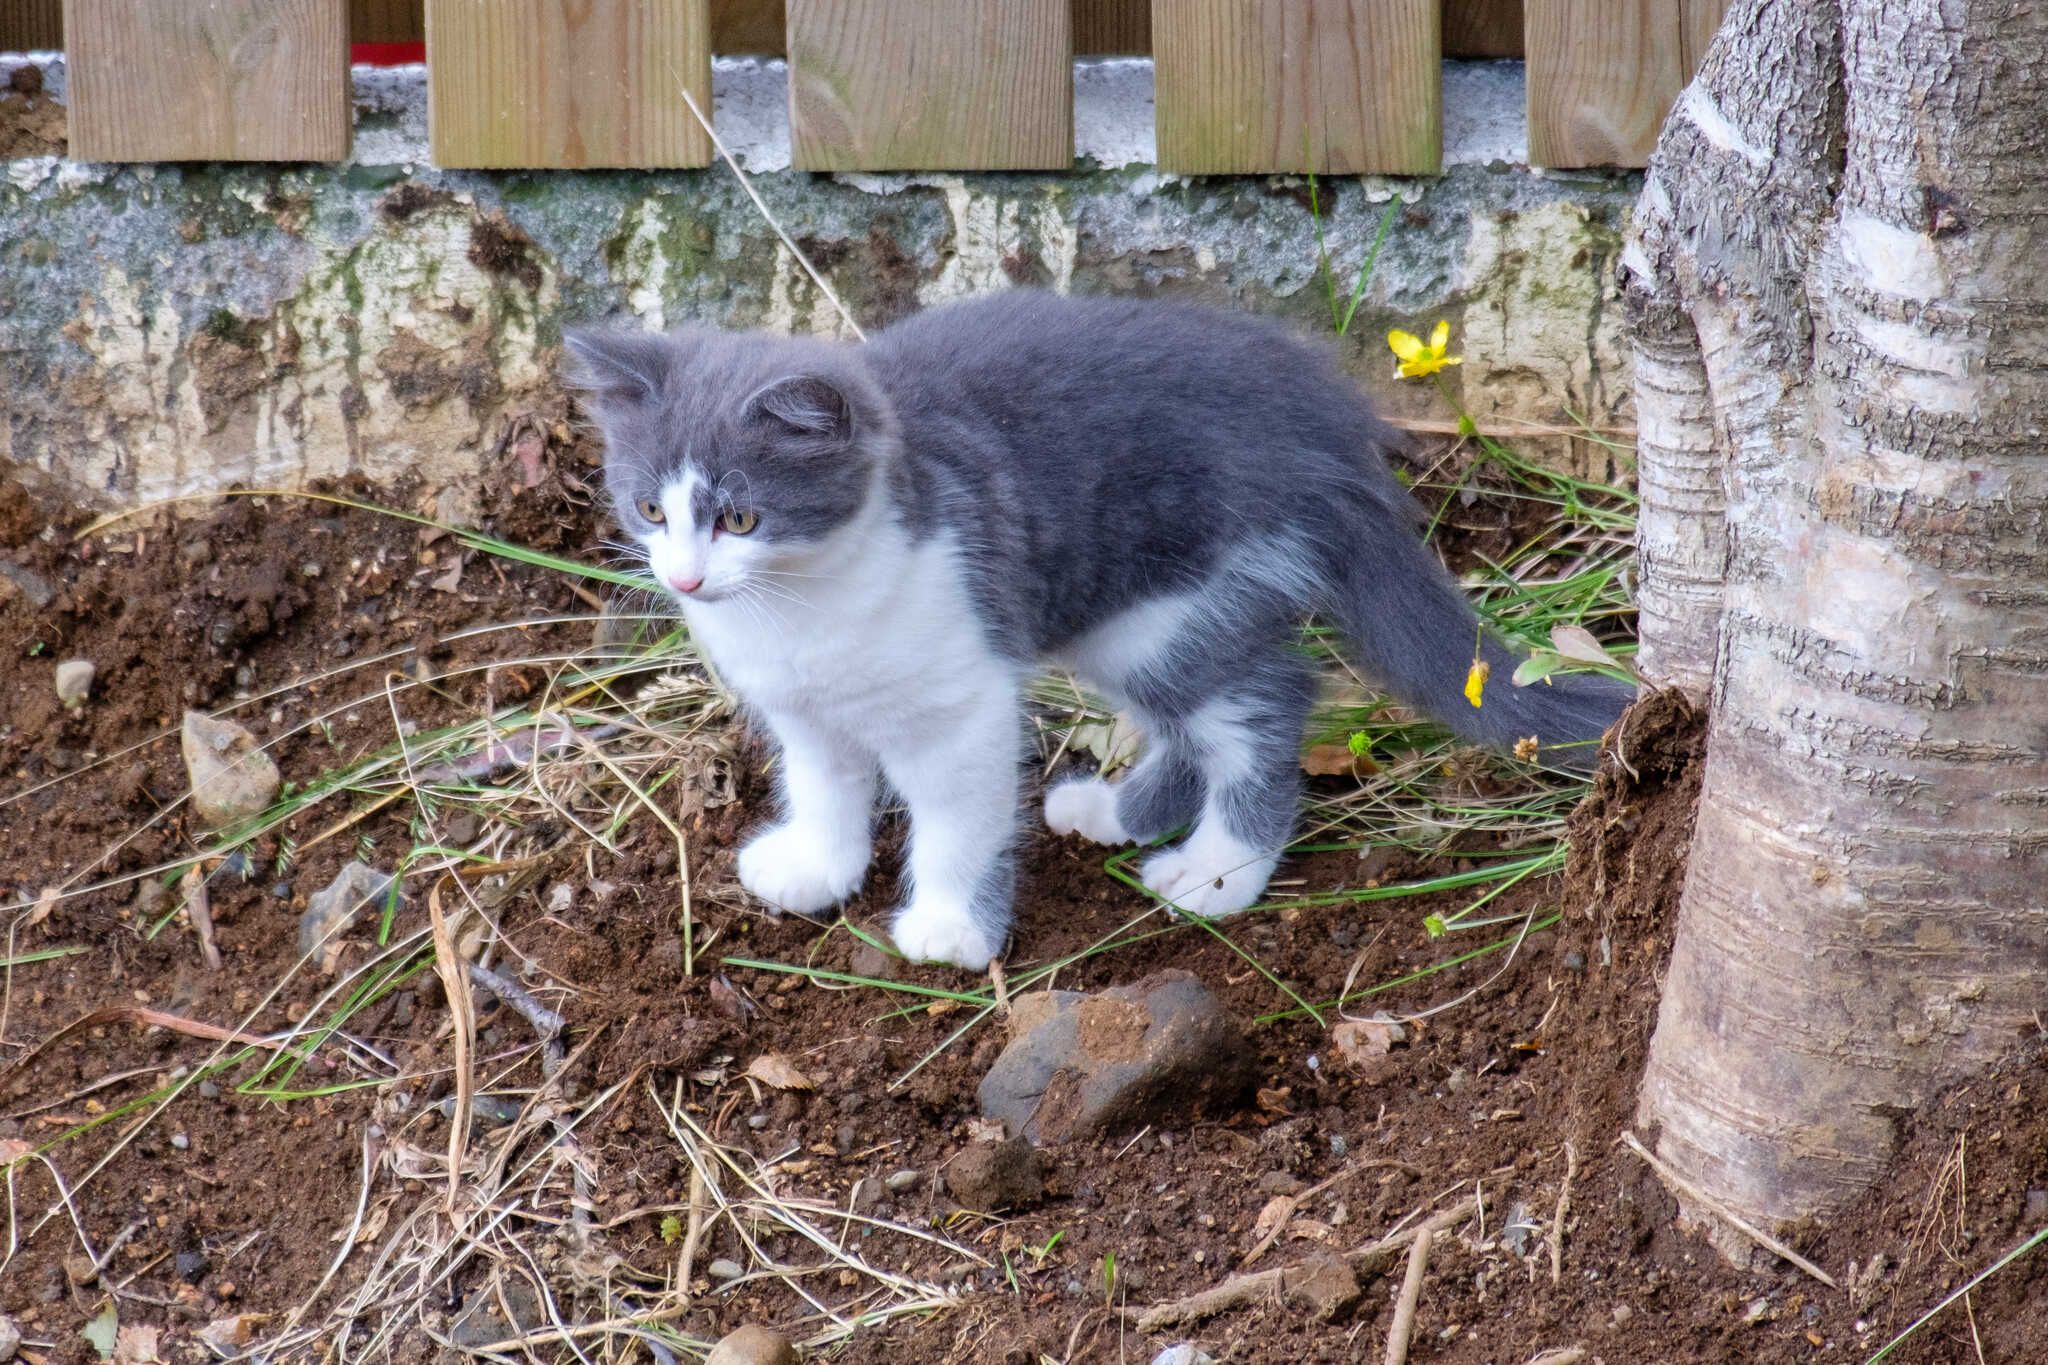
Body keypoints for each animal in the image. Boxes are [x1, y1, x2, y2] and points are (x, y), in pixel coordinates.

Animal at [565, 290, 1630, 970]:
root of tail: (1326, 423)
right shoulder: (806, 709)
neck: (801, 605)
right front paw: (817, 868)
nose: (685, 577)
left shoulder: (961, 699)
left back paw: (1217, 870)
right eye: (649, 509)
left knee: (1264, 707)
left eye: (741, 517)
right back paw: (1118, 811)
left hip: (1176, 600)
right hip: (1121, 615)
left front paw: (951, 928)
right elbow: (826, 784)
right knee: (1197, 719)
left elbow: (957, 817)